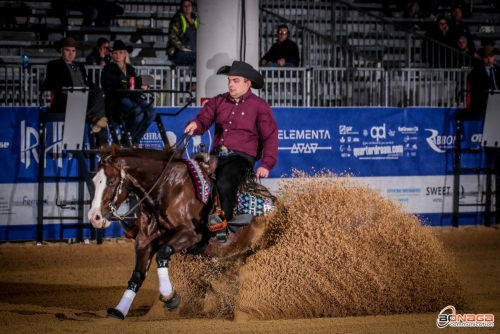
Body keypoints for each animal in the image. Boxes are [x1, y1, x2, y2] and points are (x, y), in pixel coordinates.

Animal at [88, 145, 268, 320]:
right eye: (94, 181)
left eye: (111, 181)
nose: (94, 217)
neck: (168, 189)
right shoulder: (145, 240)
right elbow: (137, 275)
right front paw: (119, 311)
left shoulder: (191, 235)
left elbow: (163, 254)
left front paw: (170, 298)